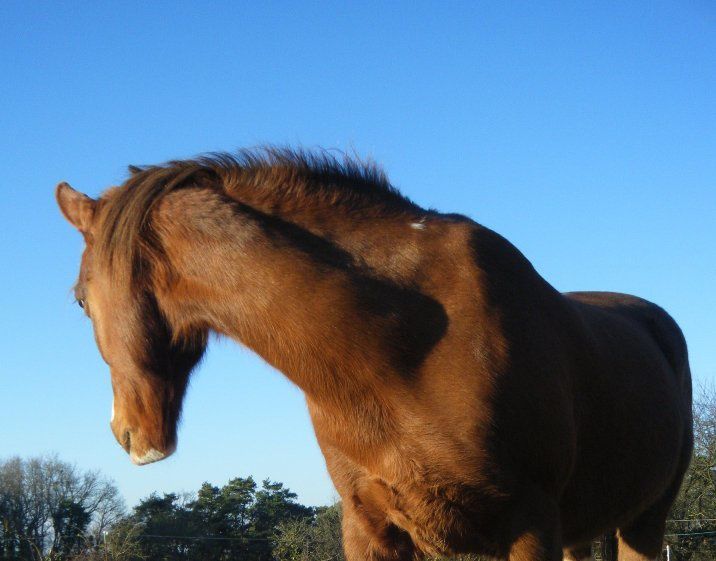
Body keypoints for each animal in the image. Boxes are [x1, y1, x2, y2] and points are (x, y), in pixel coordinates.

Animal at [57, 149, 692, 560]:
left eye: (81, 299)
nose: (127, 435)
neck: (400, 352)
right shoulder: (371, 526)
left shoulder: (529, 527)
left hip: (644, 524)